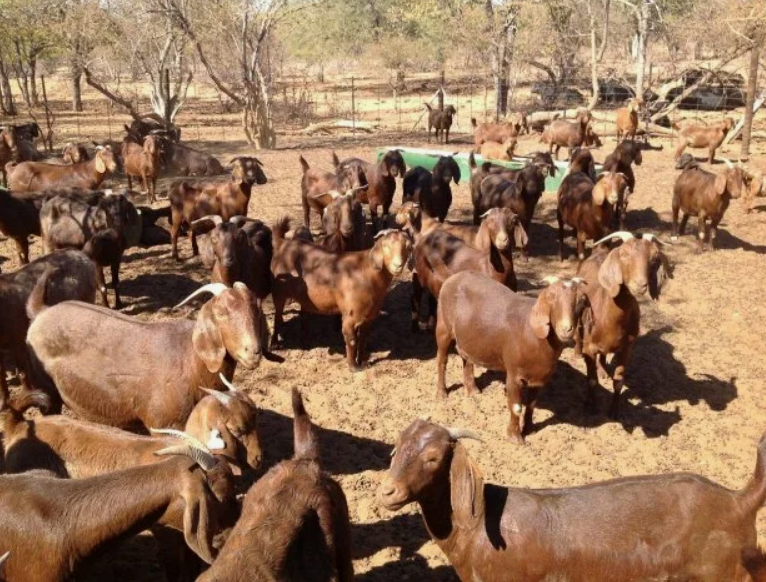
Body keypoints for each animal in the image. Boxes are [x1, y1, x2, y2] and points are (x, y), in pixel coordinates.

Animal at [25, 282, 268, 428]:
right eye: (220, 313)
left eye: (257, 310)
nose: (253, 351)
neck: (189, 359)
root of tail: (41, 312)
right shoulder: (165, 425)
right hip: (46, 390)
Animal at [271, 221, 411, 371]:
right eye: (385, 246)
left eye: (407, 247)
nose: (398, 265)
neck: (366, 271)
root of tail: (282, 243)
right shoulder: (350, 316)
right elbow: (352, 340)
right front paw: (354, 367)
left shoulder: (369, 317)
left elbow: (363, 339)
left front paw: (363, 362)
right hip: (278, 291)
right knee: (277, 316)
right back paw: (275, 344)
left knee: (304, 315)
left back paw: (305, 342)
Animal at [436, 274, 584, 442]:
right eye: (551, 296)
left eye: (581, 300)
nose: (566, 329)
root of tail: (454, 277)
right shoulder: (514, 373)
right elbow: (516, 406)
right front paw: (515, 437)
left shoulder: (539, 378)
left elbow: (531, 405)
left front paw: (529, 429)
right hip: (443, 326)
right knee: (442, 360)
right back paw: (442, 393)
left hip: (467, 336)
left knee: (466, 358)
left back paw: (473, 390)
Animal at [576, 231, 669, 418]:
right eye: (624, 254)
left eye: (654, 258)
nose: (640, 285)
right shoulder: (590, 347)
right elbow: (591, 380)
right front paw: (591, 406)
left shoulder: (627, 347)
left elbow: (619, 381)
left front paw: (614, 411)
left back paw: (603, 371)